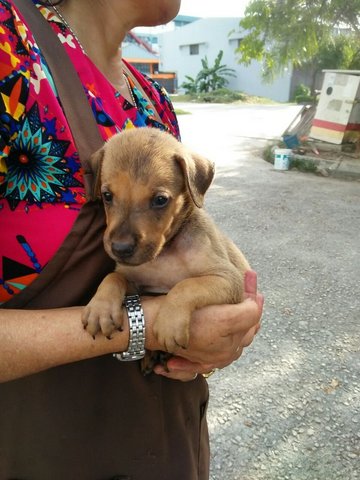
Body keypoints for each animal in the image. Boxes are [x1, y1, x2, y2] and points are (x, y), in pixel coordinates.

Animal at [82, 128, 250, 376]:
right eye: (107, 196)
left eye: (160, 200)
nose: (120, 249)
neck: (165, 252)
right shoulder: (138, 285)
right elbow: (113, 276)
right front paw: (100, 308)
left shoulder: (228, 278)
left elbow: (187, 285)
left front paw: (169, 322)